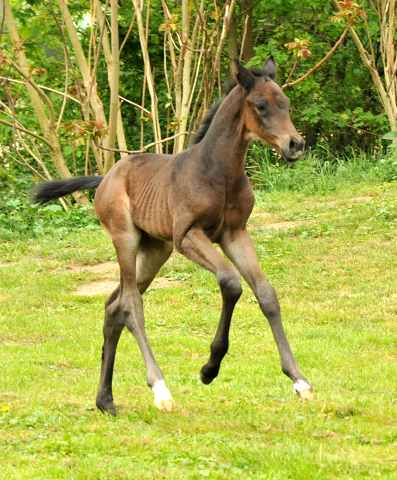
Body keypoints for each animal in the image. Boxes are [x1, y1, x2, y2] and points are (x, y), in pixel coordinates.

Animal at [33, 57, 312, 416]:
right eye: (261, 106)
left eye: (286, 104)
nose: (295, 145)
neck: (219, 172)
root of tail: (106, 177)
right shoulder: (188, 236)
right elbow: (230, 281)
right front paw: (209, 369)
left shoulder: (235, 234)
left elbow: (266, 294)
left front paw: (299, 381)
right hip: (126, 239)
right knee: (130, 305)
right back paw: (159, 389)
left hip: (155, 250)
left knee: (113, 306)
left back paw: (105, 400)